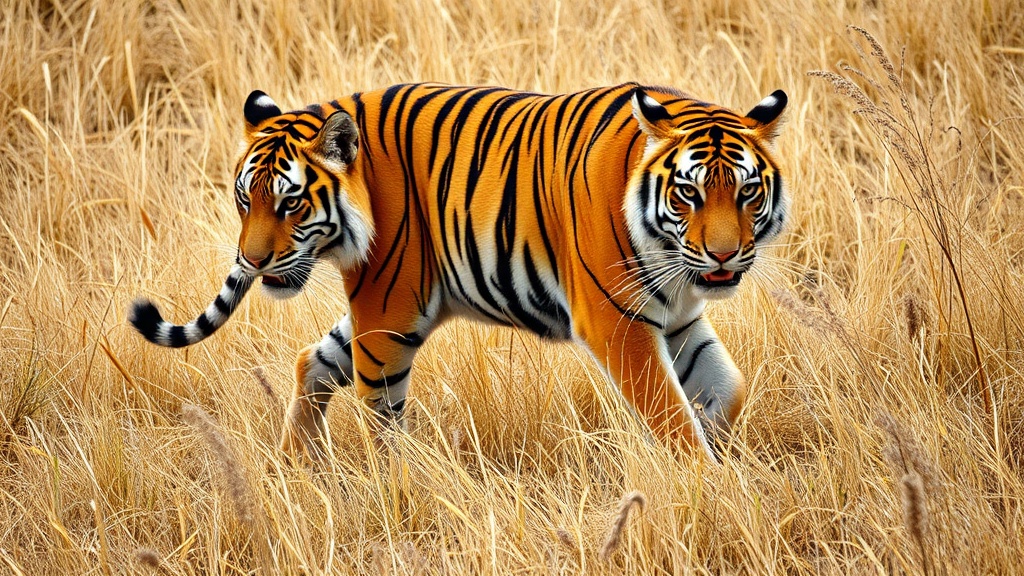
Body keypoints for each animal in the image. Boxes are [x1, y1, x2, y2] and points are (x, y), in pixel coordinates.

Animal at [129, 82, 787, 462]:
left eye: (746, 192)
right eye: (688, 194)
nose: (253, 258)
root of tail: (337, 105)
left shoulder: (675, 318)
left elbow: (724, 391)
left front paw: (723, 458)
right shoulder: (618, 322)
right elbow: (672, 419)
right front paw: (710, 486)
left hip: (384, 313)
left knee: (314, 360)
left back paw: (296, 465)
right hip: (389, 314)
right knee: (379, 419)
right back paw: (395, 488)